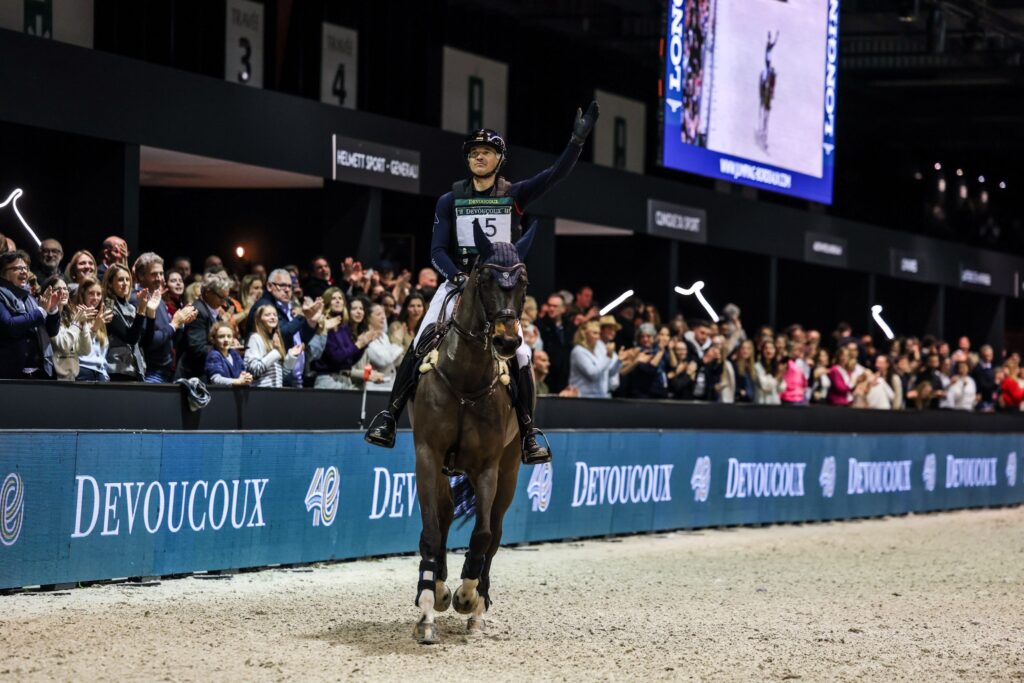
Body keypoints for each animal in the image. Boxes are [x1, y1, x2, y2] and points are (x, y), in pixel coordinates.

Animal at [409, 224, 536, 647]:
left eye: (523, 281)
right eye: (483, 278)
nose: (507, 343)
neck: (465, 378)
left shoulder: (488, 467)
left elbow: (481, 535)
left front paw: (467, 597)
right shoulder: (428, 455)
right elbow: (432, 532)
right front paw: (430, 606)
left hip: (510, 470)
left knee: (494, 532)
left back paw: (478, 604)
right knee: (445, 516)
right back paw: (436, 587)